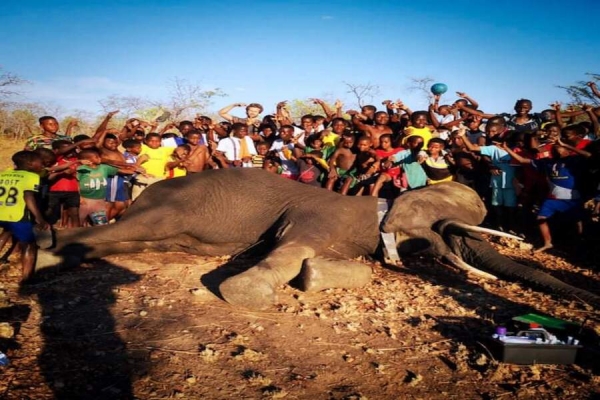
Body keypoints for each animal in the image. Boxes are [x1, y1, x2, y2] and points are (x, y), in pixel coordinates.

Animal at [37, 167, 600, 310]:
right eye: (453, 235)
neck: (389, 200)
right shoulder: (319, 215)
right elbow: (292, 248)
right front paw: (245, 295)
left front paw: (315, 279)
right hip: (162, 211)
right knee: (124, 230)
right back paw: (41, 256)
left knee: (130, 245)